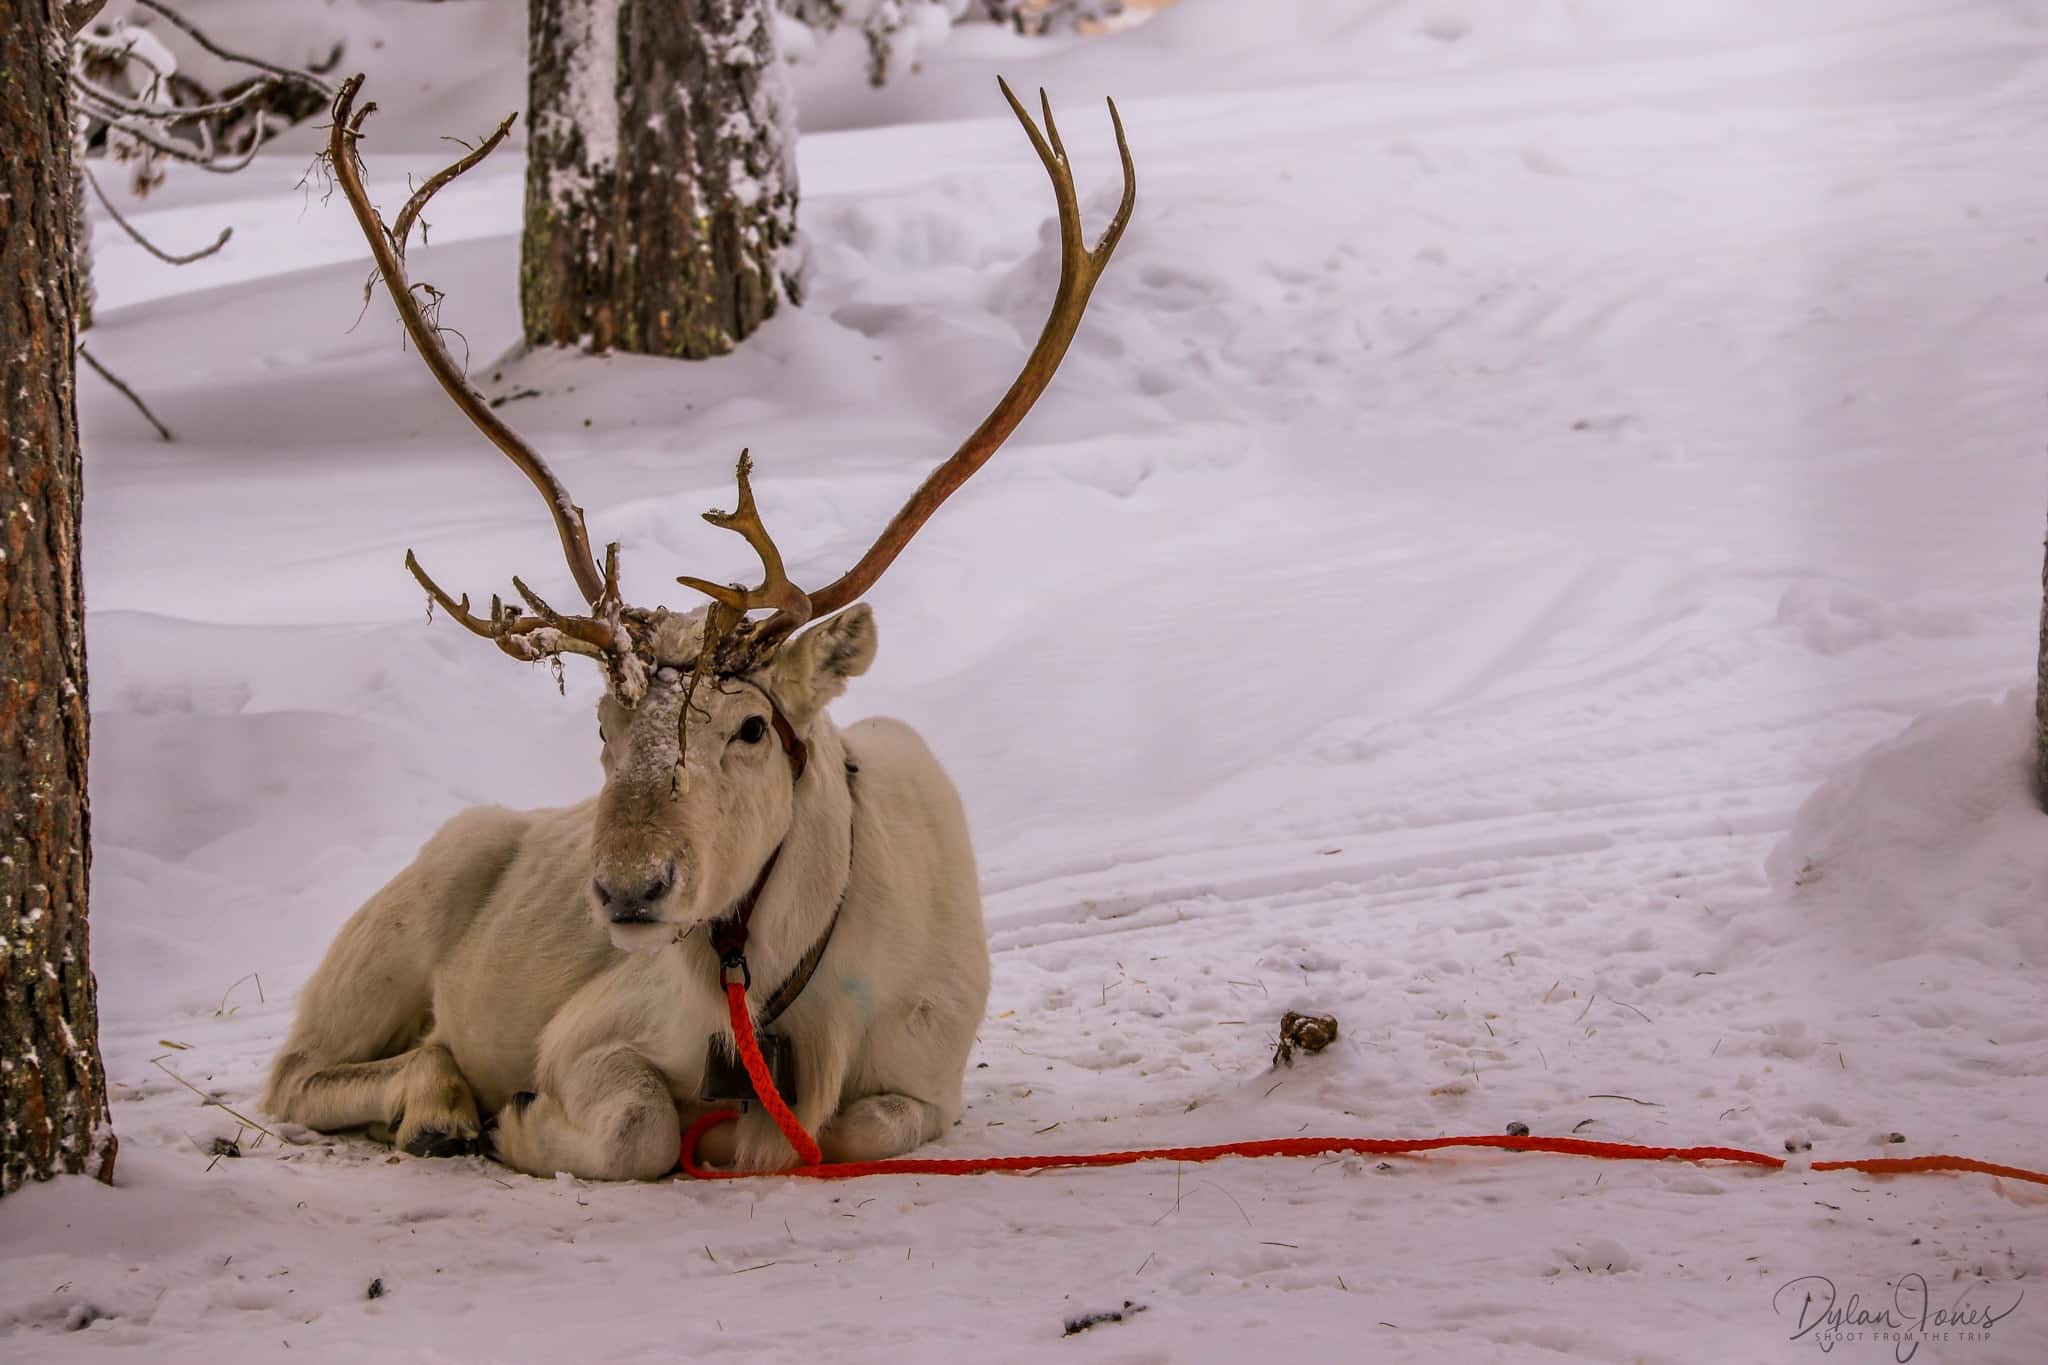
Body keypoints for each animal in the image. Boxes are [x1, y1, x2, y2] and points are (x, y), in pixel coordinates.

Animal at [260, 76, 1134, 1180]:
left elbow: (853, 1125)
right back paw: (443, 1107)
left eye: (751, 728)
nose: (629, 888)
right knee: (302, 1068)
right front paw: (519, 1116)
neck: (783, 1000)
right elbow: (640, 1125)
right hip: (400, 923)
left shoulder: (926, 1082)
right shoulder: (595, 1027)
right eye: (599, 729)